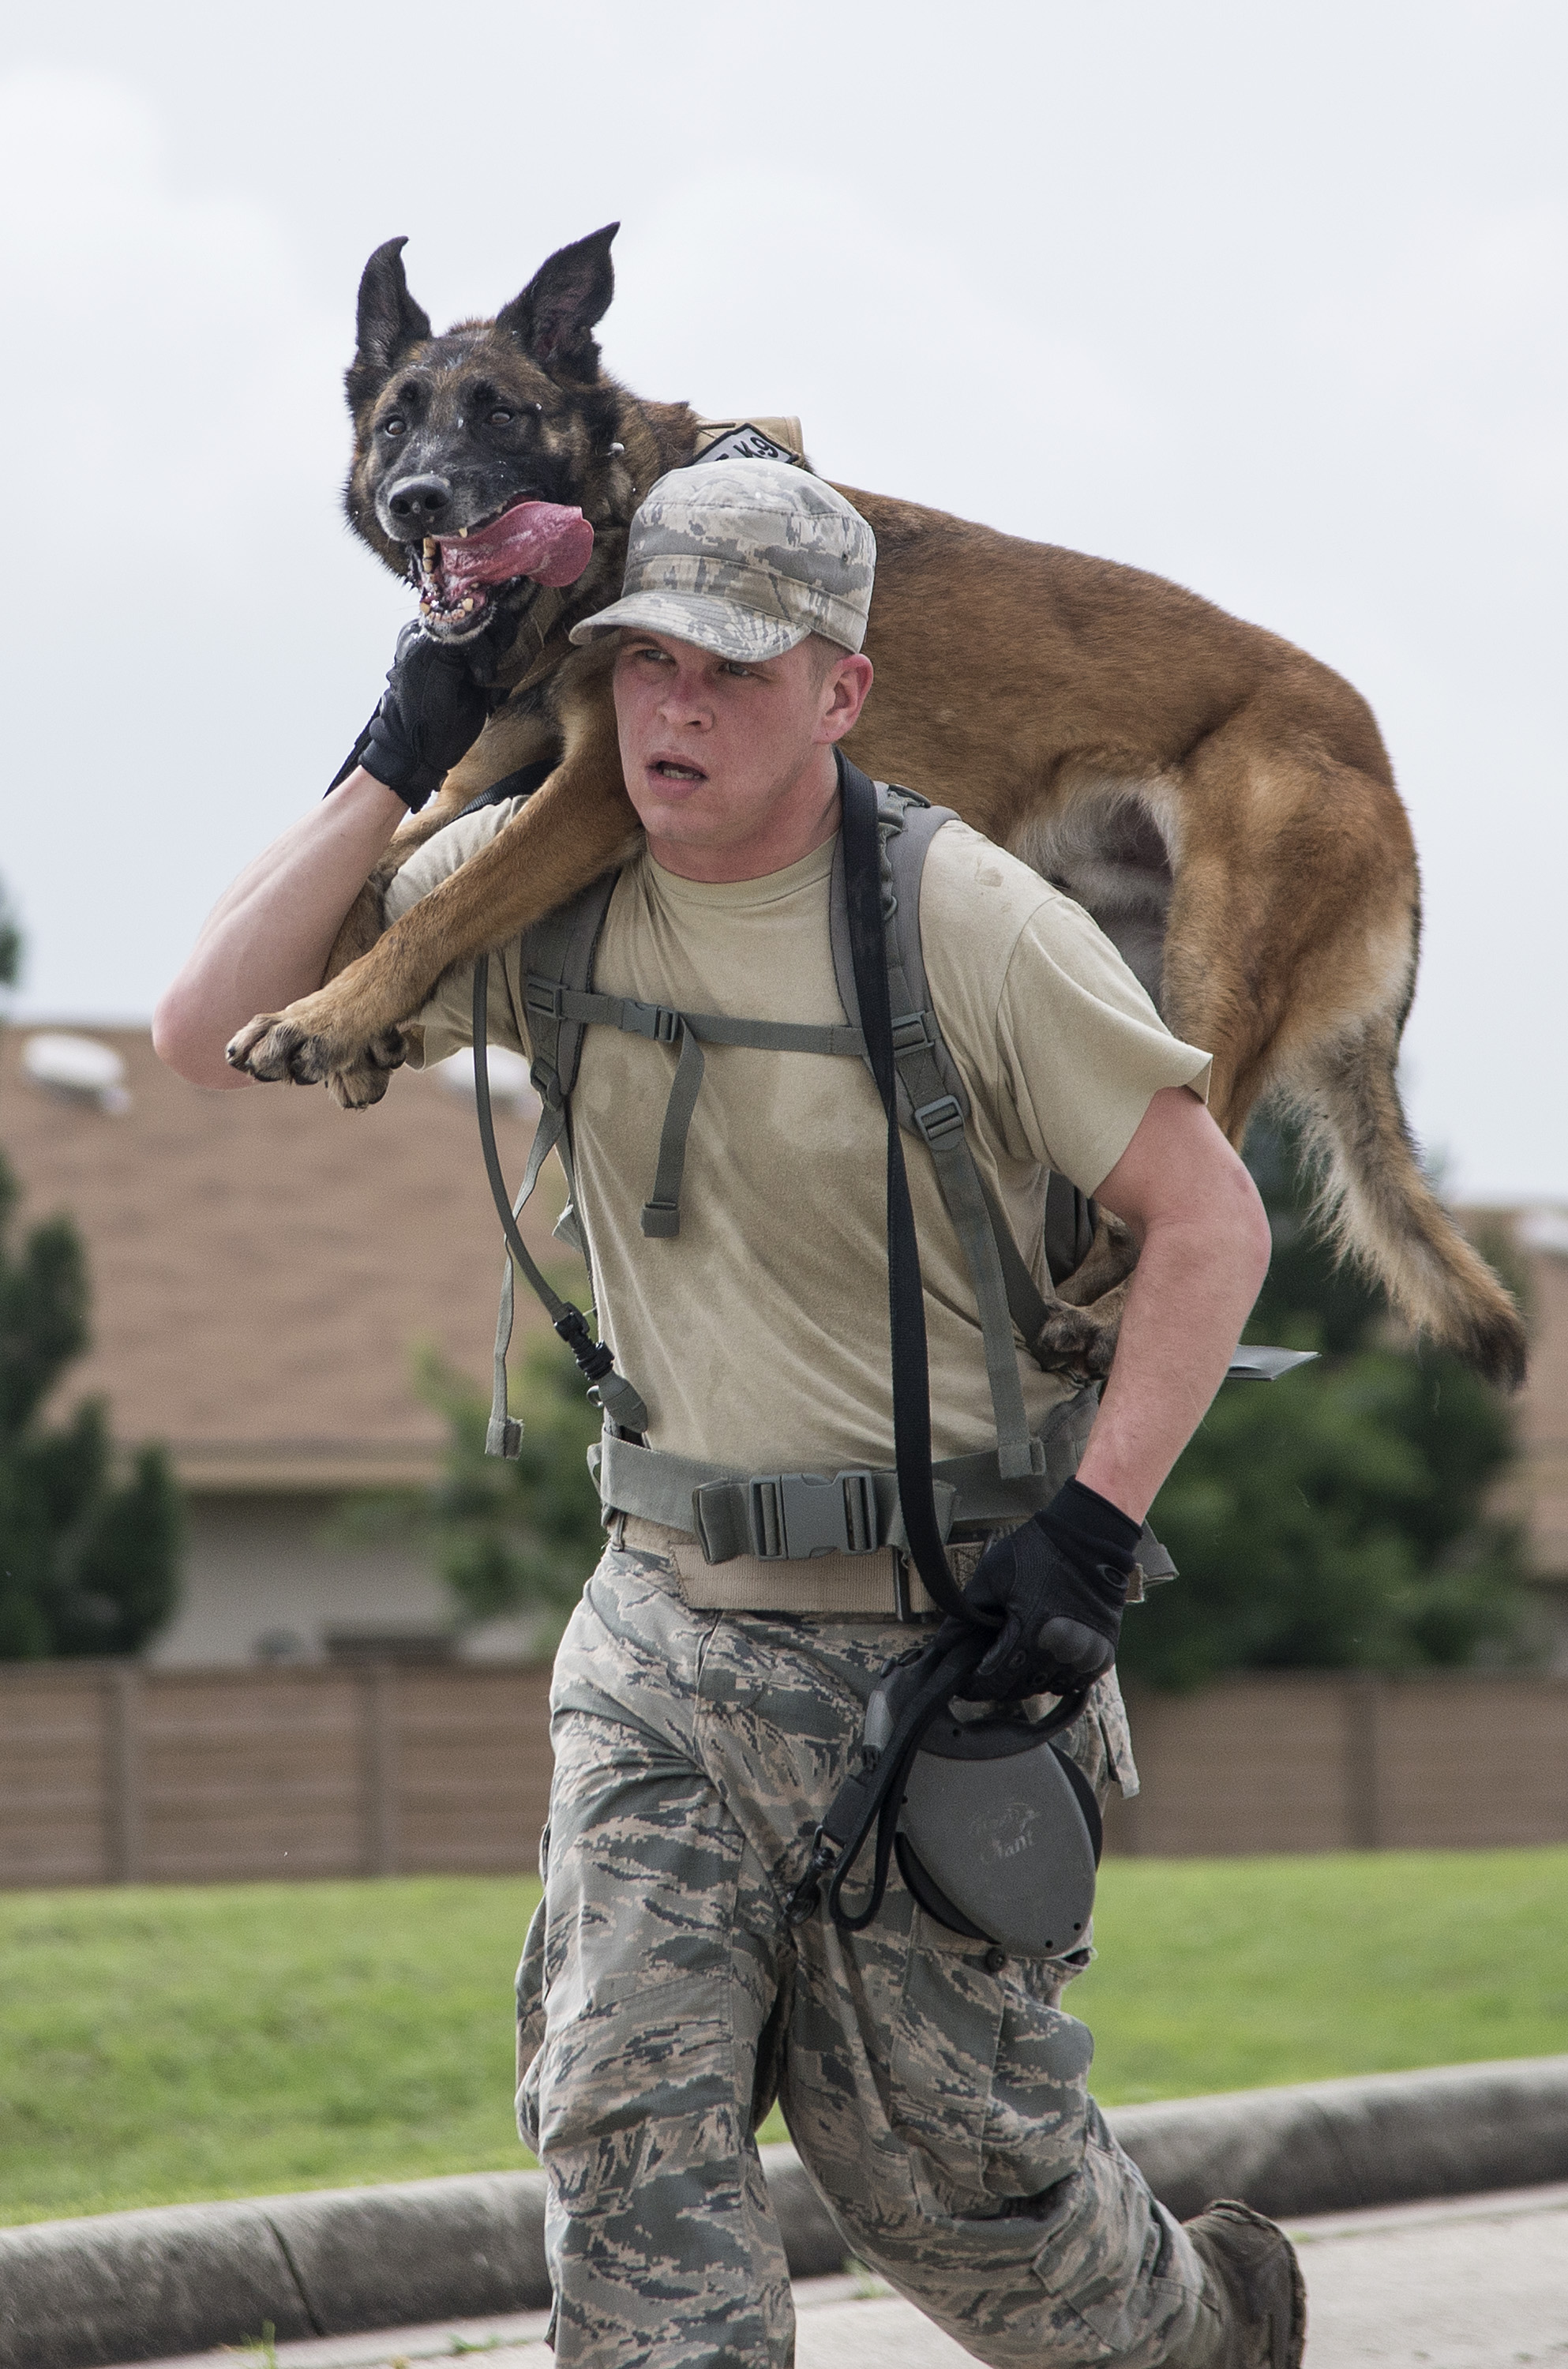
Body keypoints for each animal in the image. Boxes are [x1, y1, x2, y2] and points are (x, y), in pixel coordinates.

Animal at [227, 223, 1525, 1383]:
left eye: (499, 411)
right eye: (397, 420)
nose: (416, 498)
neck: (616, 512)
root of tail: (1379, 764)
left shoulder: (594, 795)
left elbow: (437, 909)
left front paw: (325, 1016)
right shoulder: (489, 775)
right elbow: (378, 859)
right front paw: (340, 1010)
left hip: (1211, 981)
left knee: (1195, 1196)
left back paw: (1093, 1332)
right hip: (1128, 961)